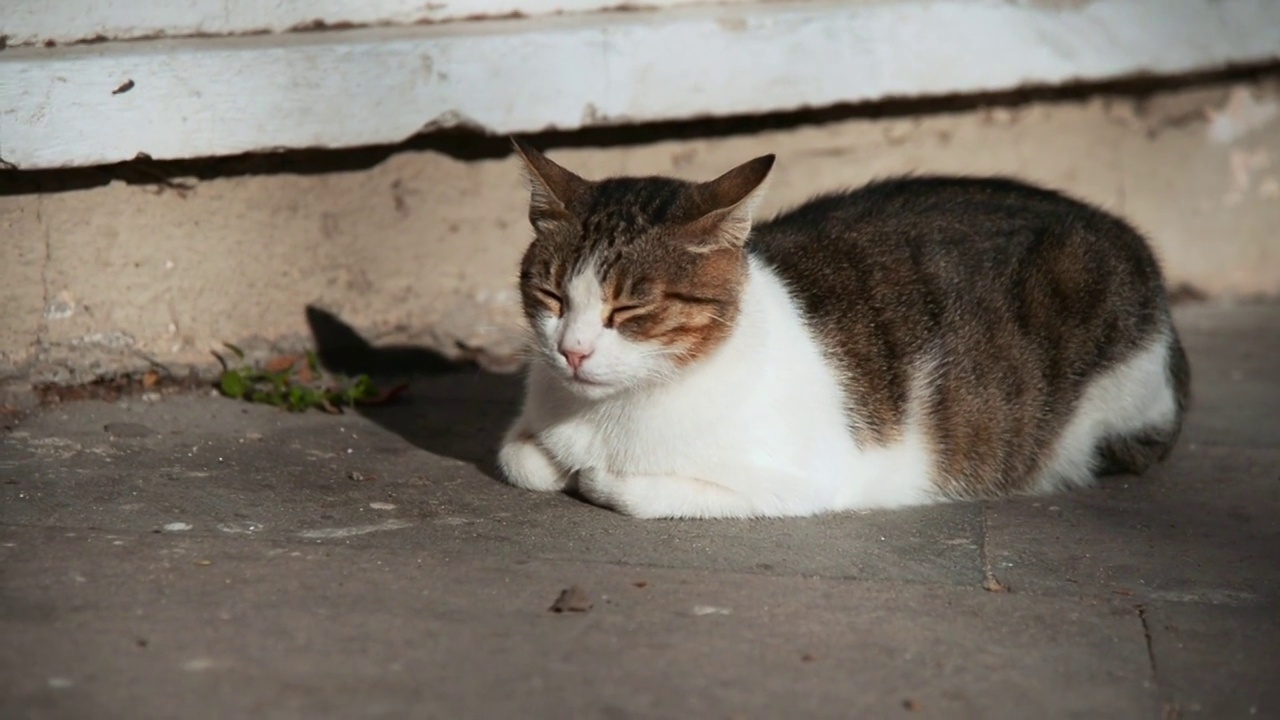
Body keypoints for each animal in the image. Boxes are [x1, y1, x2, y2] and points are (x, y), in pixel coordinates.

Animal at [496, 139, 1187, 515]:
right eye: (551, 295)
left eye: (630, 309)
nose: (572, 352)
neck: (607, 417)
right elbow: (520, 460)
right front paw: (556, 463)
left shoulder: (801, 481)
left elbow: (626, 488)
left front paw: (594, 477)